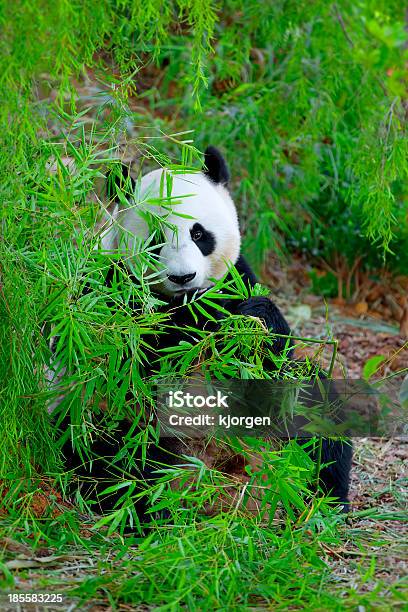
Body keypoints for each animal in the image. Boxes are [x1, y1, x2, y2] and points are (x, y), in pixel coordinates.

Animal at [55, 146, 352, 524]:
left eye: (199, 234)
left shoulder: (236, 279)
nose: (183, 277)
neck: (188, 301)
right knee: (111, 447)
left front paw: (252, 320)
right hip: (110, 421)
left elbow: (270, 353)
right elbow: (134, 357)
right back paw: (148, 506)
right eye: (155, 241)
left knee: (316, 410)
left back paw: (323, 501)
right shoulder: (112, 290)